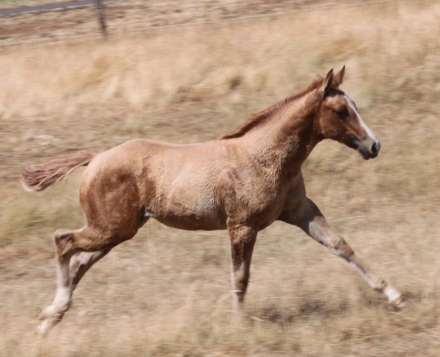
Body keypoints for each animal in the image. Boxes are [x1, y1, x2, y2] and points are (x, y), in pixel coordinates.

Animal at [20, 66, 406, 334]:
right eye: (341, 111)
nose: (374, 145)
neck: (263, 158)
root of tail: (96, 158)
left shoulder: (301, 211)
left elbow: (341, 246)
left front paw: (394, 295)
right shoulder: (242, 226)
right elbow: (240, 277)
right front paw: (236, 326)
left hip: (117, 232)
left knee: (79, 261)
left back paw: (49, 319)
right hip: (109, 228)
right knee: (63, 241)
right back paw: (51, 313)